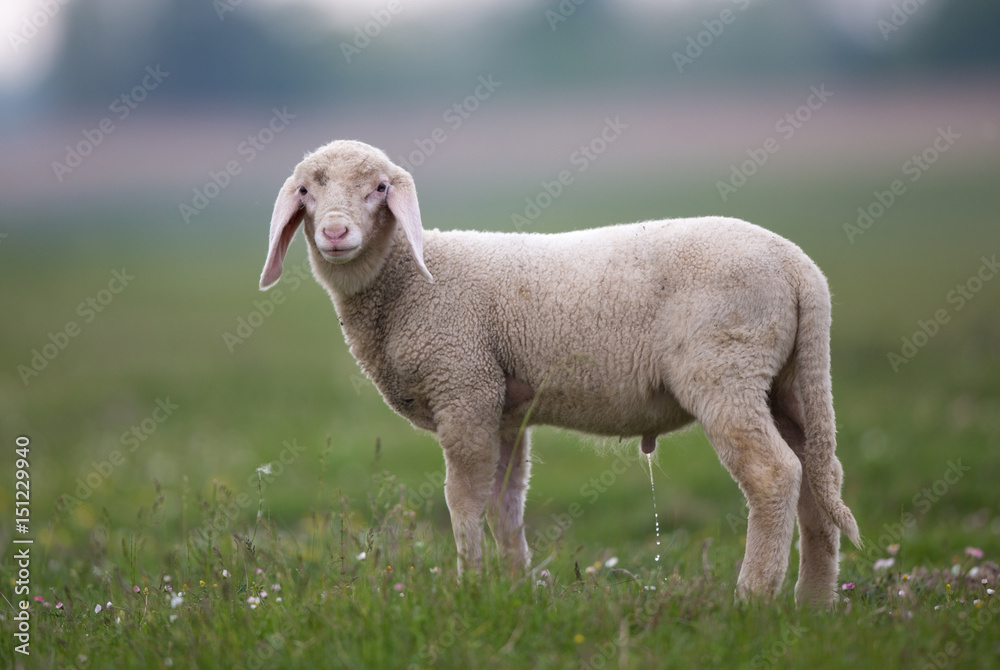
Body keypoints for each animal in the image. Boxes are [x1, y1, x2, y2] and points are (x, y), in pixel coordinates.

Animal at [262, 139, 864, 608]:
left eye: (381, 188)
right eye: (306, 192)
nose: (335, 233)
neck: (411, 280)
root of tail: (801, 270)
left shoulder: (464, 386)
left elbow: (463, 499)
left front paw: (469, 586)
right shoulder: (502, 408)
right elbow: (505, 504)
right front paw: (512, 588)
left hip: (726, 369)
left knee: (773, 474)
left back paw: (752, 599)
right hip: (789, 382)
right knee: (819, 477)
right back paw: (812, 603)